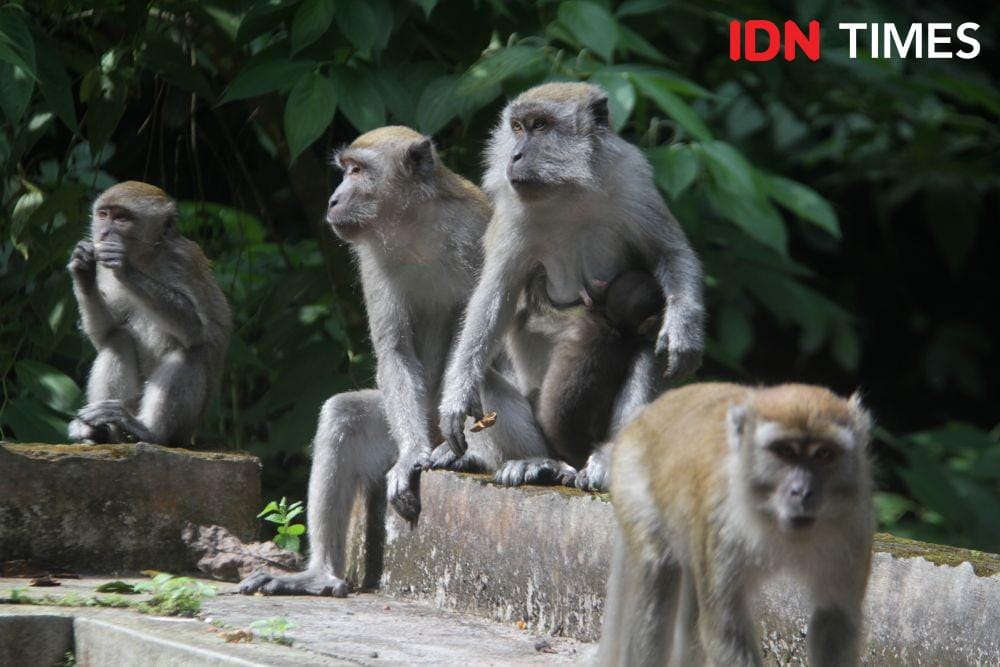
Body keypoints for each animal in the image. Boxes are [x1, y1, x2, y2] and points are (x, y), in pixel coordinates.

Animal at [66, 181, 231, 447]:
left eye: (121, 218)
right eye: (103, 214)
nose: (104, 233)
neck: (146, 259)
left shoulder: (182, 261)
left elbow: (195, 329)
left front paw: (123, 266)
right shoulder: (105, 274)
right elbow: (106, 332)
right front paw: (82, 269)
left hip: (185, 428)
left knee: (189, 353)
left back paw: (148, 431)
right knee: (118, 339)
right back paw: (101, 431)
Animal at [240, 127, 551, 597]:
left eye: (357, 171)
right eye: (344, 169)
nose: (333, 199)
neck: (415, 227)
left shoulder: (482, 230)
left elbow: (498, 326)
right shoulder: (371, 258)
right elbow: (395, 352)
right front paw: (410, 458)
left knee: (489, 384)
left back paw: (500, 458)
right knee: (343, 415)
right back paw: (320, 575)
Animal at [598, 382, 875, 667]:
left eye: (824, 454)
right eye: (784, 451)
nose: (803, 492)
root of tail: (646, 412)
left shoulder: (856, 528)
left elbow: (835, 618)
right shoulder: (720, 520)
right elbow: (725, 626)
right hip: (630, 478)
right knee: (657, 570)